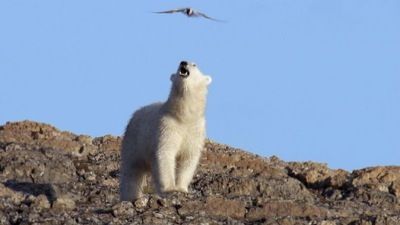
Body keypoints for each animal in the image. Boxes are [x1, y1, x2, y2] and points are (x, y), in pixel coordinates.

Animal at [119, 59, 211, 200]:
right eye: (180, 64)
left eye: (194, 64)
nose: (183, 62)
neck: (183, 117)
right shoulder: (166, 126)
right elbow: (165, 153)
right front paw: (170, 188)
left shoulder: (195, 131)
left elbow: (188, 157)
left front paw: (182, 188)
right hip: (134, 142)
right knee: (132, 171)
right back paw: (130, 196)